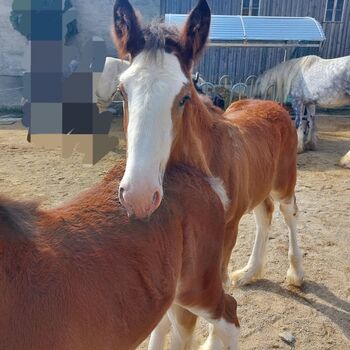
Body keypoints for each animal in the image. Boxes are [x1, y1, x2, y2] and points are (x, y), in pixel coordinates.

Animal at [113, 0, 304, 292]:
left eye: (184, 97)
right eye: (122, 92)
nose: (139, 196)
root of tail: (274, 105)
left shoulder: (227, 231)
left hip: (284, 181)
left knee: (289, 211)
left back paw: (295, 273)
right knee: (265, 214)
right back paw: (249, 272)